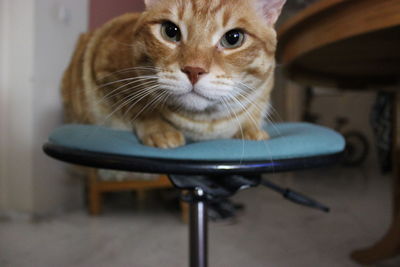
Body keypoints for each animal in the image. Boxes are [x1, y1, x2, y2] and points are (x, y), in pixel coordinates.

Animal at [61, 0, 284, 149]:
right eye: (170, 31)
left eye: (233, 38)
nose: (194, 70)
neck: (205, 124)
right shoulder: (105, 71)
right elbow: (140, 107)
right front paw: (161, 130)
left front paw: (250, 130)